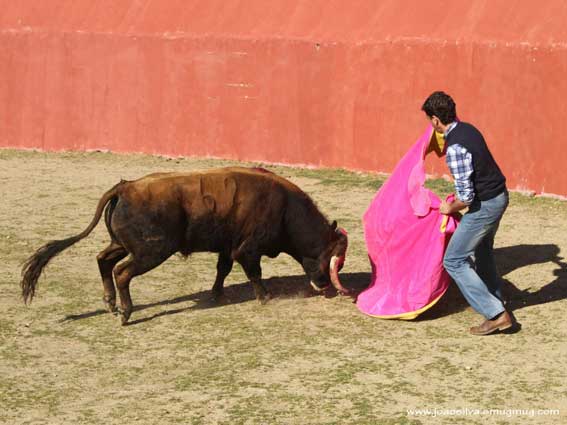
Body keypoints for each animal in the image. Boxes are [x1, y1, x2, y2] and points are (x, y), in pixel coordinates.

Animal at [21, 167, 350, 322]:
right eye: (329, 257)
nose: (325, 286)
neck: (285, 210)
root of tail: (126, 187)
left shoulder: (227, 247)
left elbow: (222, 270)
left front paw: (216, 294)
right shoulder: (247, 249)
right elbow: (254, 273)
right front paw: (265, 297)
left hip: (125, 244)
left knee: (103, 260)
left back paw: (111, 304)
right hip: (151, 251)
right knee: (122, 272)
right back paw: (126, 313)